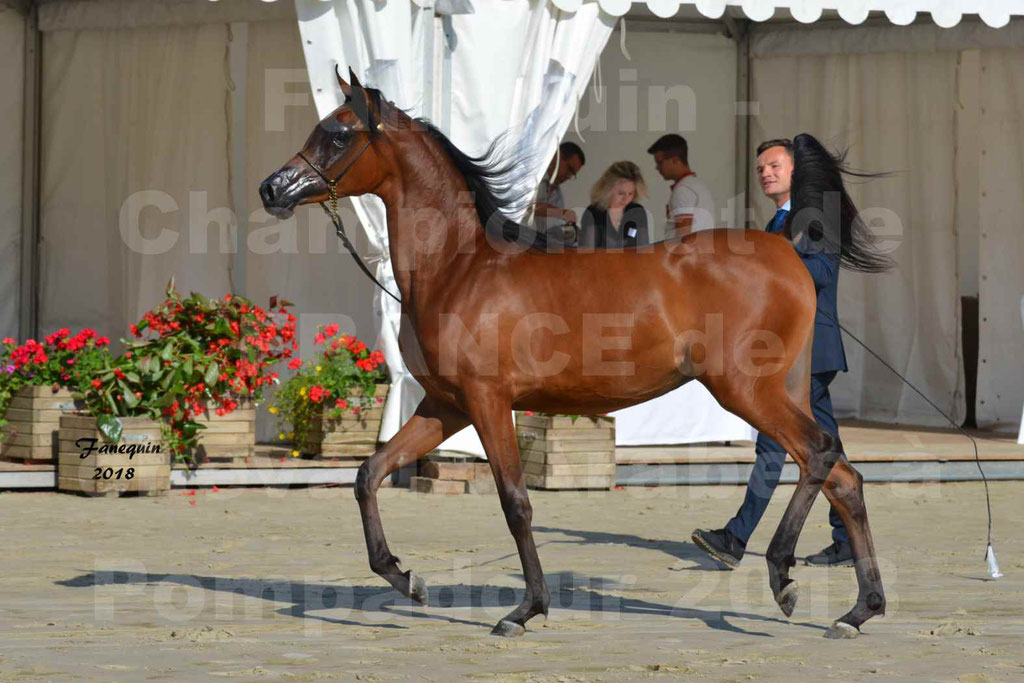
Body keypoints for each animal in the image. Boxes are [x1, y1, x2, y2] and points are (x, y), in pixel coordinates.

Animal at [260, 69, 892, 643]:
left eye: (339, 134)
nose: (273, 189)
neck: (461, 268)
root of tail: (786, 246)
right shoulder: (447, 406)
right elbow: (369, 474)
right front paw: (403, 577)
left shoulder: (489, 402)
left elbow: (516, 503)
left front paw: (524, 611)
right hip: (784, 390)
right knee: (843, 476)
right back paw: (857, 611)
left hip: (746, 390)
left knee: (818, 453)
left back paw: (785, 576)